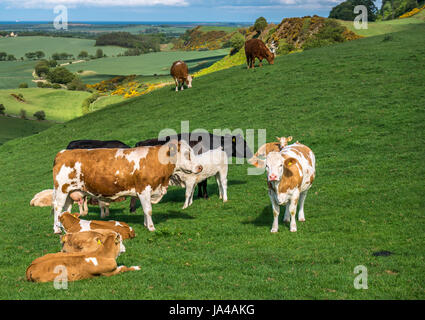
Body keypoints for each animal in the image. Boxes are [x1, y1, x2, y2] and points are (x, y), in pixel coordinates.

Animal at [51, 141, 202, 234]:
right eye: (187, 154)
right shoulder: (144, 189)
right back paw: (57, 230)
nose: (200, 167)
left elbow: (145, 210)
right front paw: (151, 228)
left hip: (71, 192)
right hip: (61, 190)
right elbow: (148, 210)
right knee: (58, 208)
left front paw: (146, 225)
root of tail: (63, 153)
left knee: (66, 210)